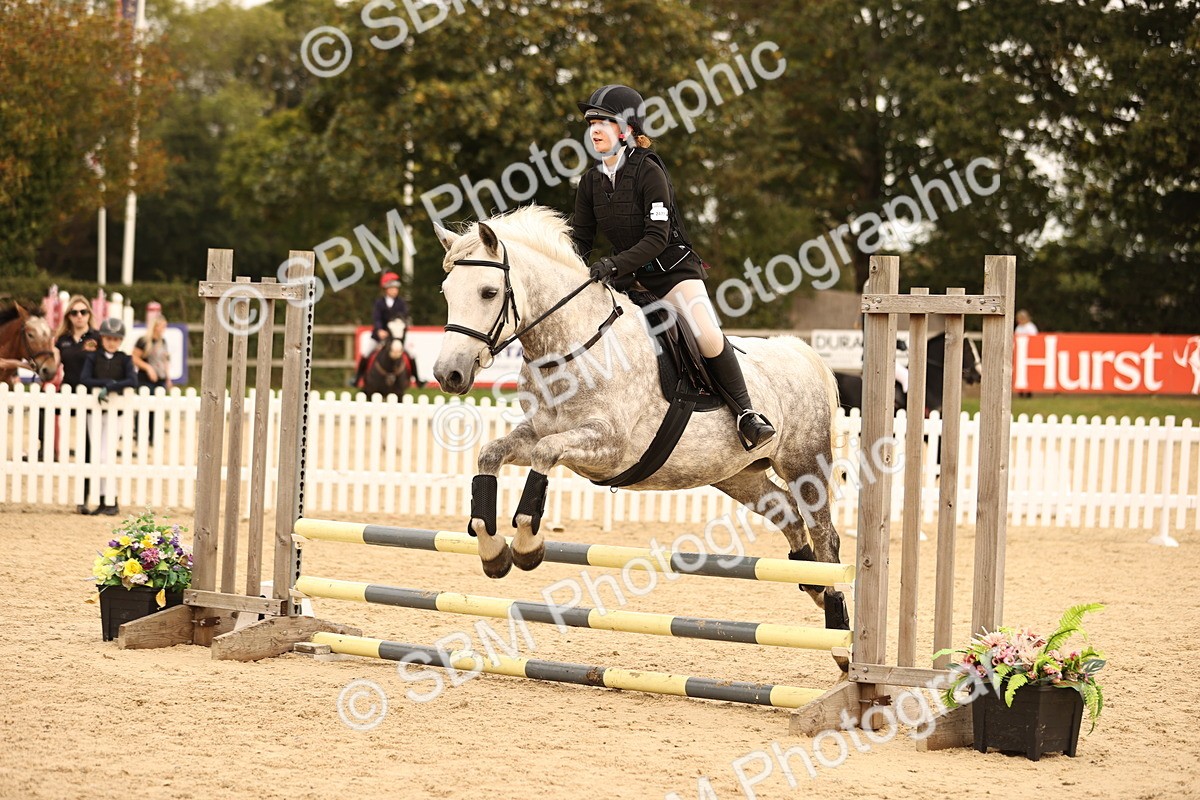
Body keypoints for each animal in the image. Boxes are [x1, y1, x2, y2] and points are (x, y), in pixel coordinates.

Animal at [431, 206, 849, 635]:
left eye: (488, 292)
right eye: (448, 292)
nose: (448, 374)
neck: (572, 347)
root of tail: (800, 351)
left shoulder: (607, 445)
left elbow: (545, 457)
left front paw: (527, 545)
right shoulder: (537, 432)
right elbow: (490, 455)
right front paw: (493, 552)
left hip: (804, 463)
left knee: (825, 534)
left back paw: (837, 618)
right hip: (737, 474)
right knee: (787, 512)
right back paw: (813, 585)